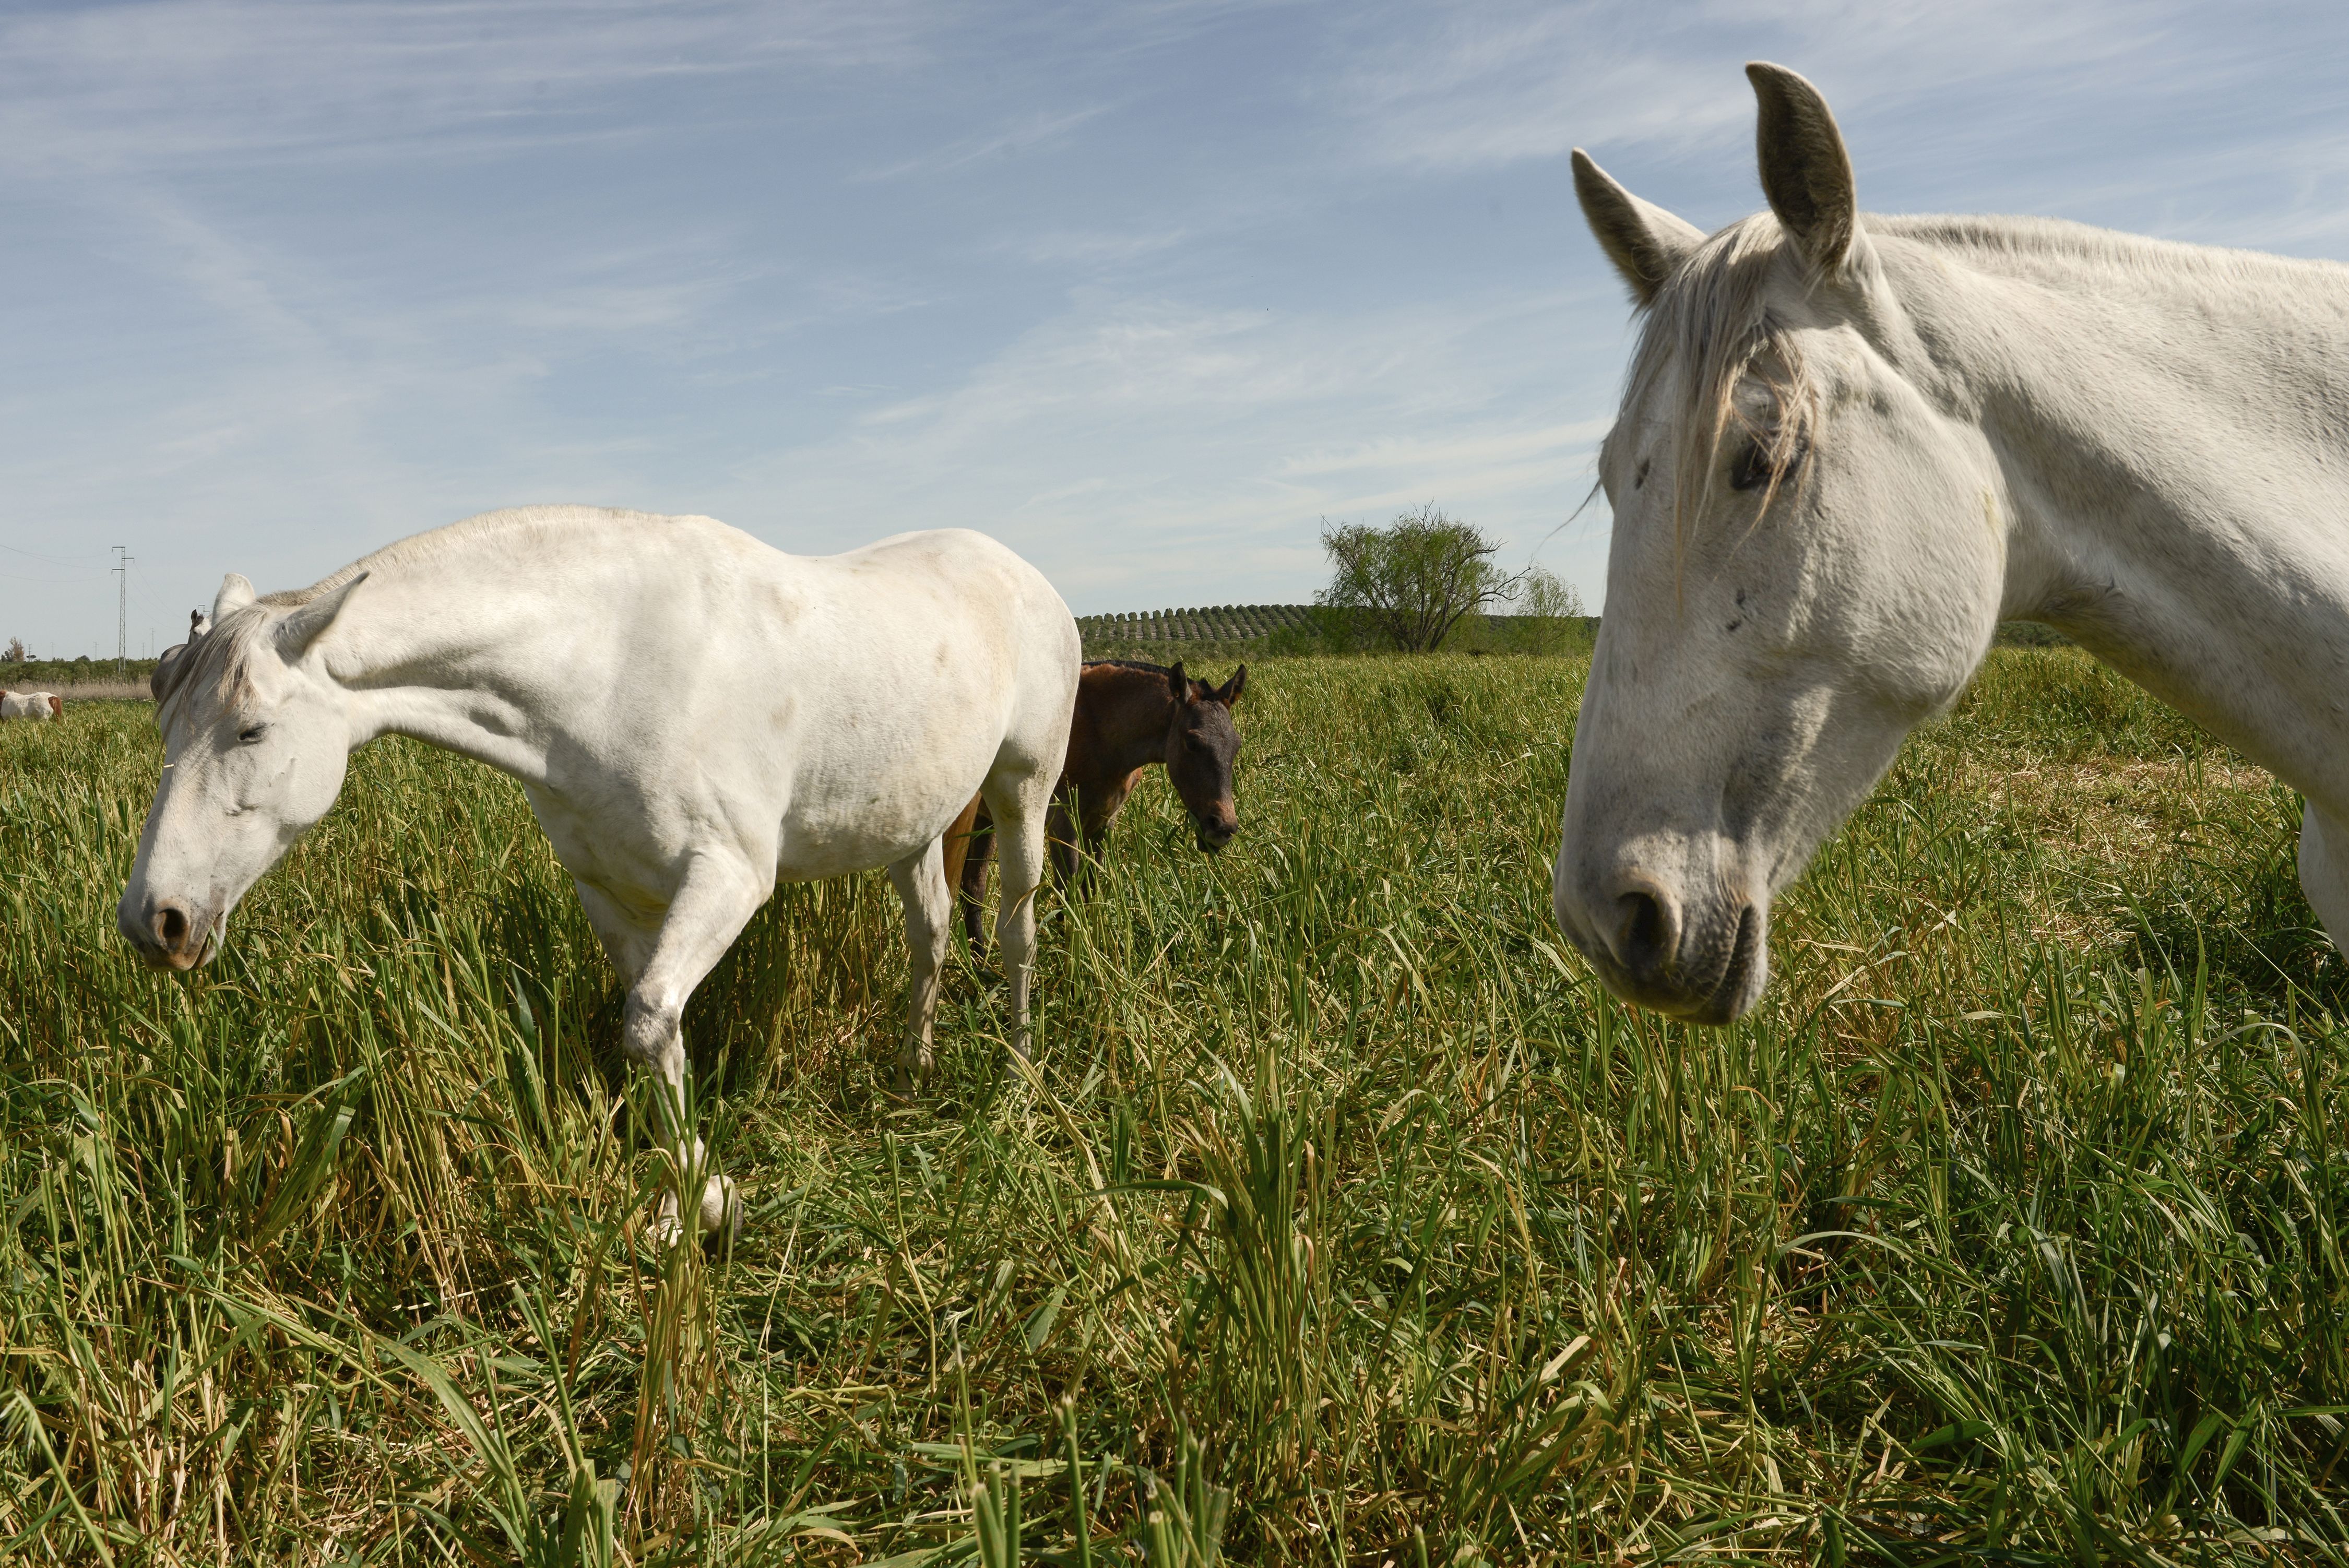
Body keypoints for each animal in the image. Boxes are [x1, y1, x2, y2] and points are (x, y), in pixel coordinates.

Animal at [119, 509, 1081, 1239]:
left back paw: (1020, 1080)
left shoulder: (731, 877)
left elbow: (651, 1020)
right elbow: (654, 1027)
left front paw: (707, 1202)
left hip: (1022, 788)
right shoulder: (611, 890)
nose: (155, 920)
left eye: (251, 730)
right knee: (931, 935)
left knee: (1017, 929)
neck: (610, 664)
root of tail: (1026, 574)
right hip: (913, 824)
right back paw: (914, 1070)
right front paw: (686, 1197)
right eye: (163, 723)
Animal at [940, 657, 1250, 943]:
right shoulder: (1062, 825)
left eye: (1237, 745)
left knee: (974, 887)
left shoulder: (1102, 824)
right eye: (1192, 742)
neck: (1097, 728)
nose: (1223, 827)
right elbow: (1068, 894)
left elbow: (1090, 890)